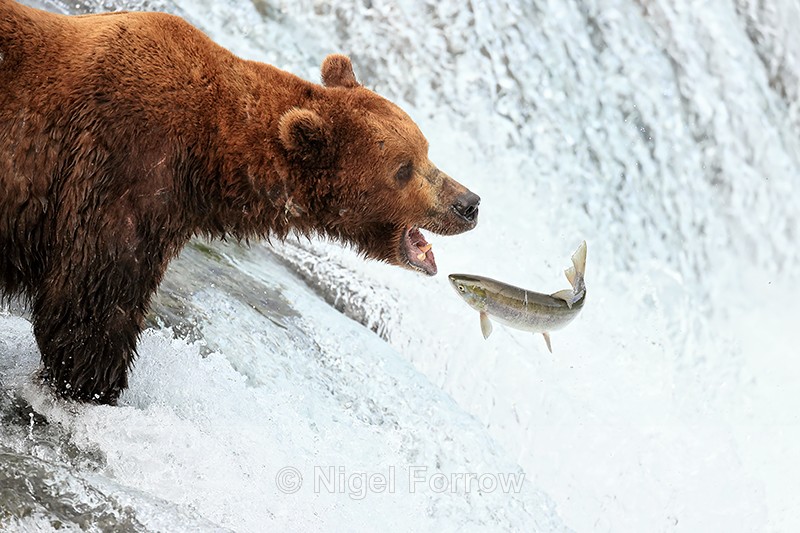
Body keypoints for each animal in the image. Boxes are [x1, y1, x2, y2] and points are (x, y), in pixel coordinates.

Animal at [0, 0, 480, 404]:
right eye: (404, 168)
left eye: (426, 151)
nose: (469, 203)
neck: (207, 155)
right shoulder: (121, 169)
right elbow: (91, 304)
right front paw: (95, 387)